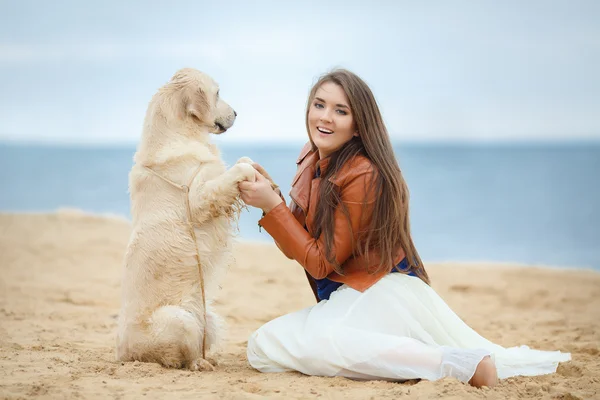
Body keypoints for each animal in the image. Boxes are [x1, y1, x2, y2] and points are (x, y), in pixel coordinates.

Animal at [116, 67, 255, 370]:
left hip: (208, 318)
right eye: (217, 93)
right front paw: (246, 171)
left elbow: (242, 162)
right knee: (180, 358)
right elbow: (230, 175)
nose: (237, 113)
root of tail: (123, 353)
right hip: (181, 319)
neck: (178, 133)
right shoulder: (197, 199)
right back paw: (200, 364)